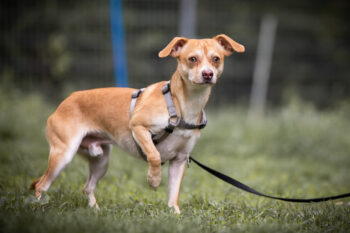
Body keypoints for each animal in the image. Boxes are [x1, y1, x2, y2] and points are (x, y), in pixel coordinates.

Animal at [29, 33, 243, 214]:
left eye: (216, 59)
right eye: (192, 59)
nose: (208, 74)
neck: (183, 105)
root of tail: (64, 102)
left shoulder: (180, 160)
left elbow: (174, 194)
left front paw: (175, 215)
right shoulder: (138, 128)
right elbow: (154, 155)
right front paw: (154, 180)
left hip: (101, 161)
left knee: (87, 187)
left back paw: (95, 211)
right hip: (64, 154)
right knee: (41, 185)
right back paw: (38, 207)